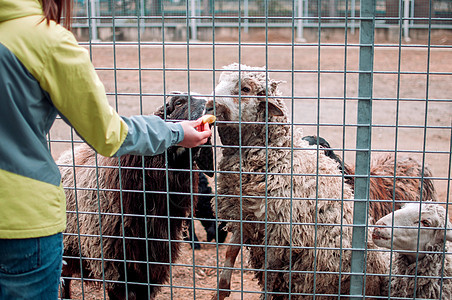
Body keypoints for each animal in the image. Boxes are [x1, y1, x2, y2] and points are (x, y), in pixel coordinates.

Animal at [207, 62, 386, 298]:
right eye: (219, 81)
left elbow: (269, 274)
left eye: (245, 89)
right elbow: (230, 251)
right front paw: (222, 288)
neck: (276, 156)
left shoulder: (282, 233)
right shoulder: (244, 216)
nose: (208, 106)